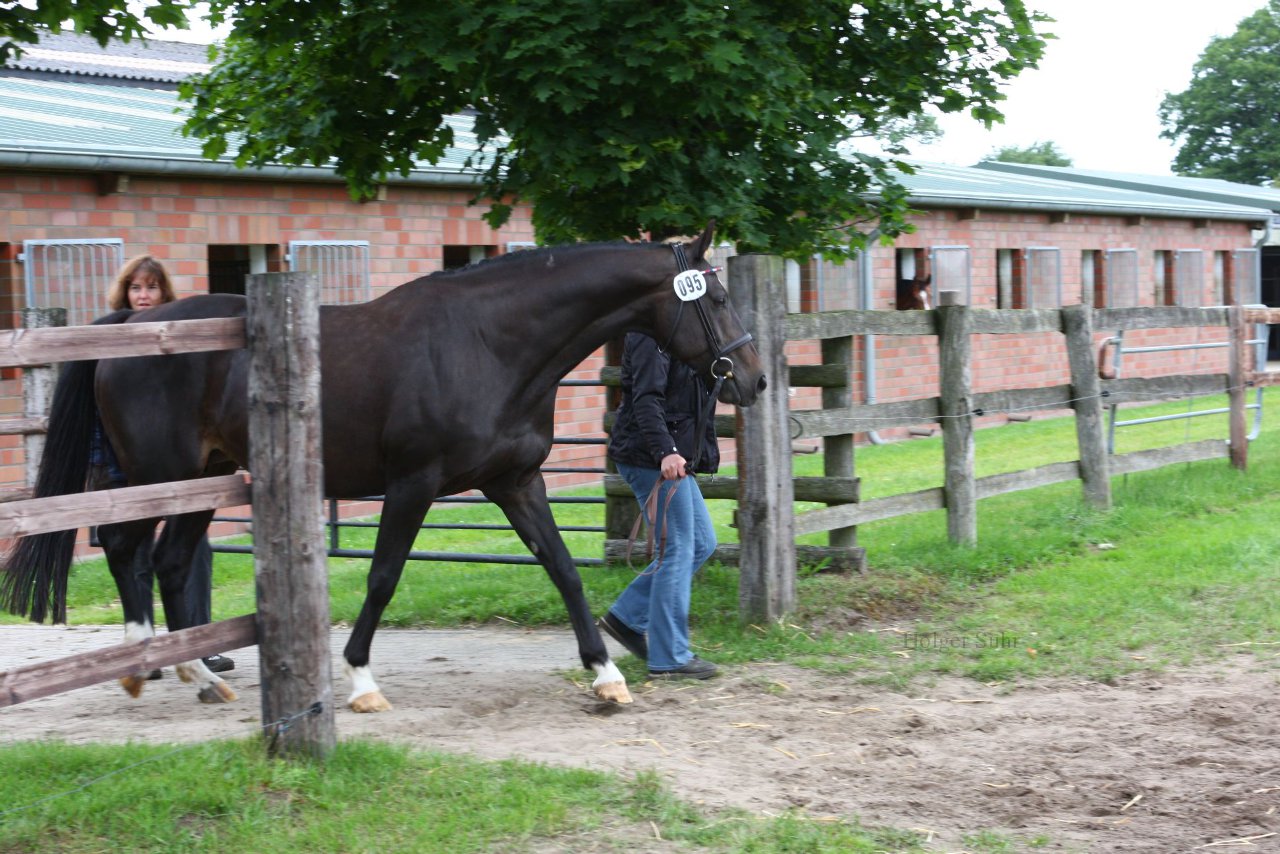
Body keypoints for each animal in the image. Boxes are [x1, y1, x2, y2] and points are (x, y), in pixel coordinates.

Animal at [0, 224, 762, 711]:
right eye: (718, 298)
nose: (752, 380)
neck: (488, 344)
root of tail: (128, 328)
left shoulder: (515, 482)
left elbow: (563, 569)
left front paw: (606, 675)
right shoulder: (413, 484)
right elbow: (384, 576)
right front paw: (361, 683)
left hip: (206, 480)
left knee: (168, 561)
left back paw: (200, 677)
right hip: (160, 475)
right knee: (124, 547)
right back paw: (145, 667)